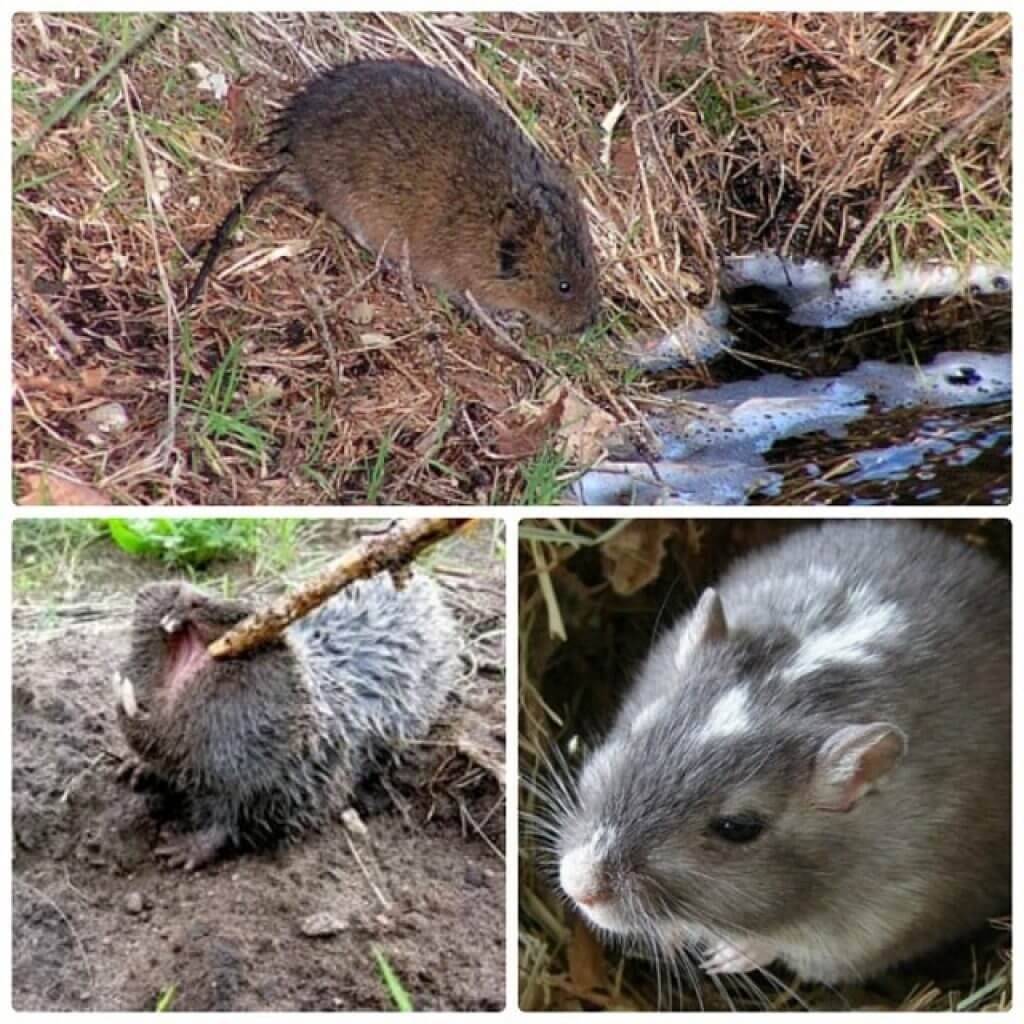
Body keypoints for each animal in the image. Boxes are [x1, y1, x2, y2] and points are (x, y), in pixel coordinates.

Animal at [190, 58, 598, 335]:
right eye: (563, 286)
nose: (587, 325)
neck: (490, 219)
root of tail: (293, 152)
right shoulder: (460, 275)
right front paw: (508, 321)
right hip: (356, 204)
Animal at [552, 524, 1007, 987]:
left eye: (738, 827)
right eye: (636, 732)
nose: (576, 884)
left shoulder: (876, 924)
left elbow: (779, 945)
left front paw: (723, 957)